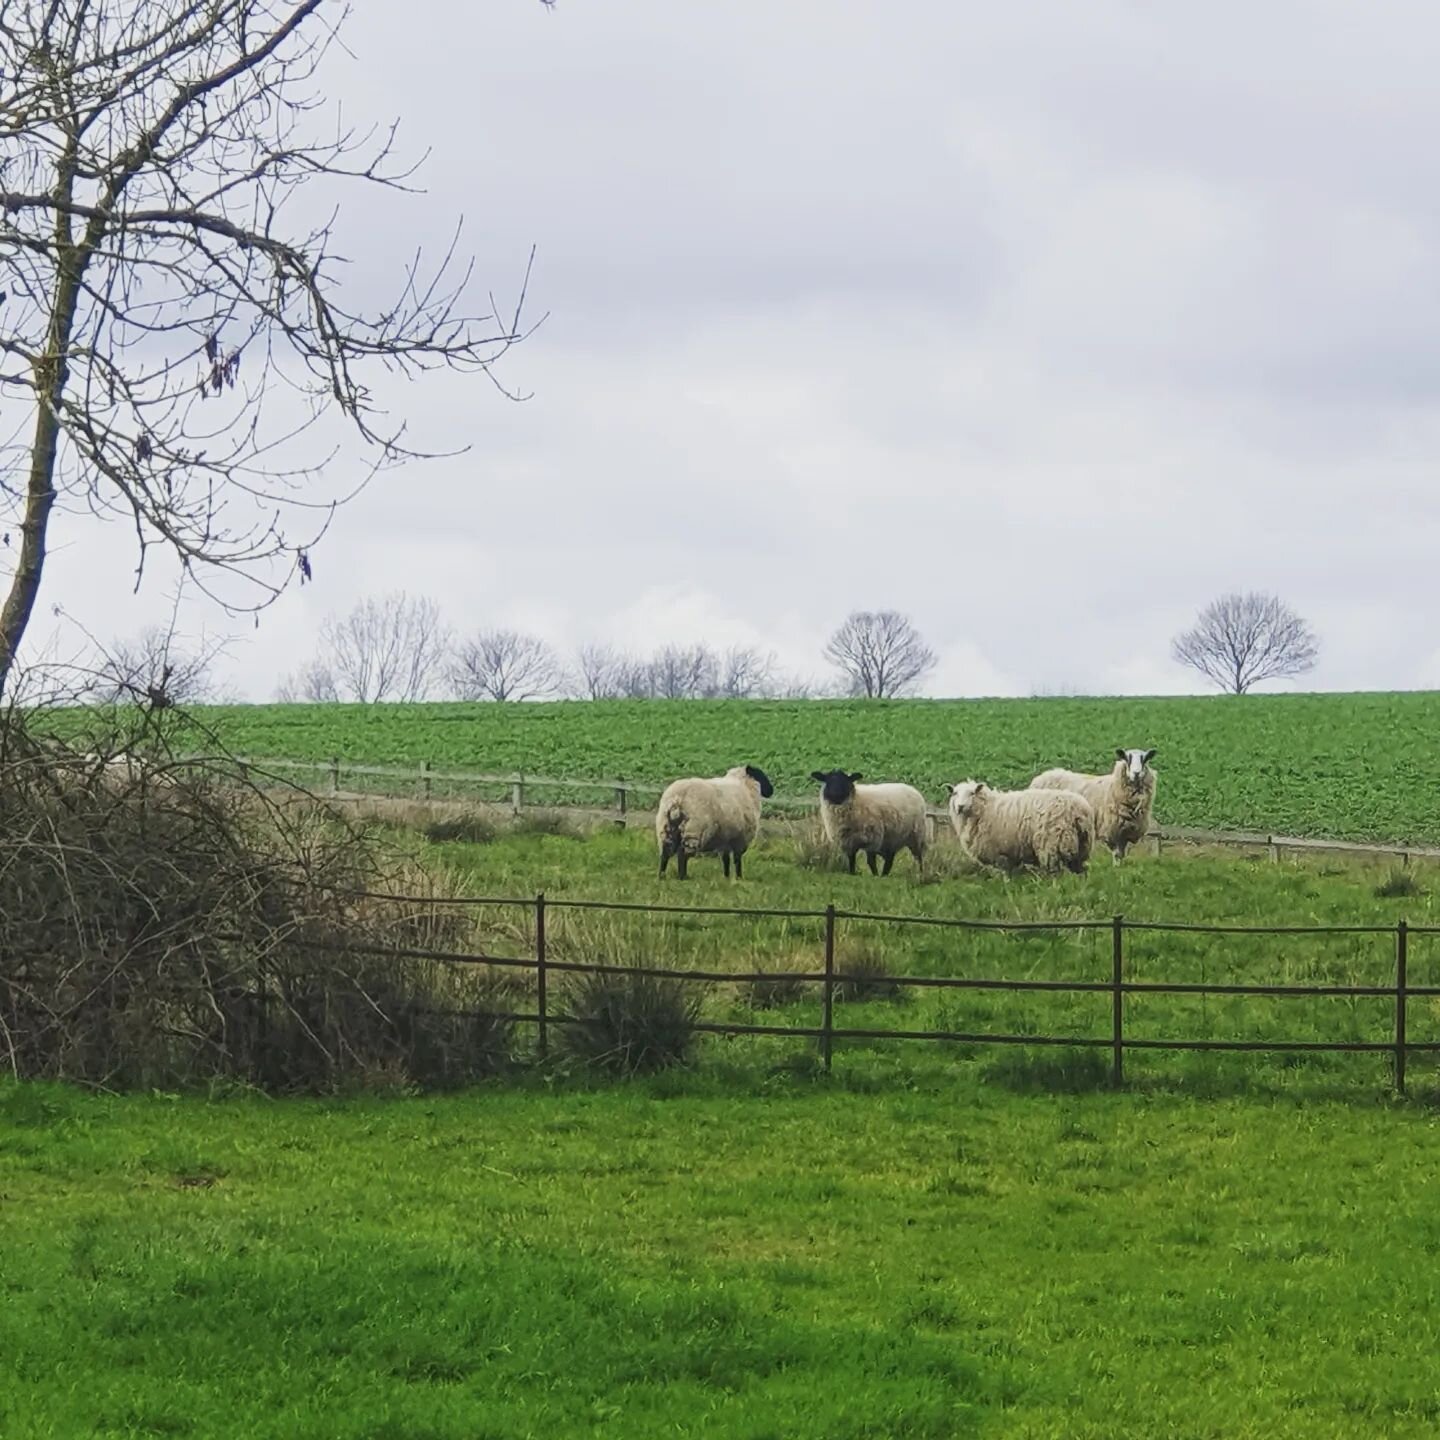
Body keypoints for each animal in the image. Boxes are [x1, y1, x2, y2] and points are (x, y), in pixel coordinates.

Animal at [944, 777, 1088, 875]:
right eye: (954, 793)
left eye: (972, 793)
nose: (960, 806)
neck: (985, 808)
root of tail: (1078, 809)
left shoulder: (998, 851)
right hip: (1082, 844)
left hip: (1053, 843)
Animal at [1025, 748, 1157, 858]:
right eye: (1127, 758)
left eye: (1144, 759)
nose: (1136, 773)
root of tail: (1041, 776)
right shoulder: (1112, 830)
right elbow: (1117, 855)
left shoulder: (1126, 831)